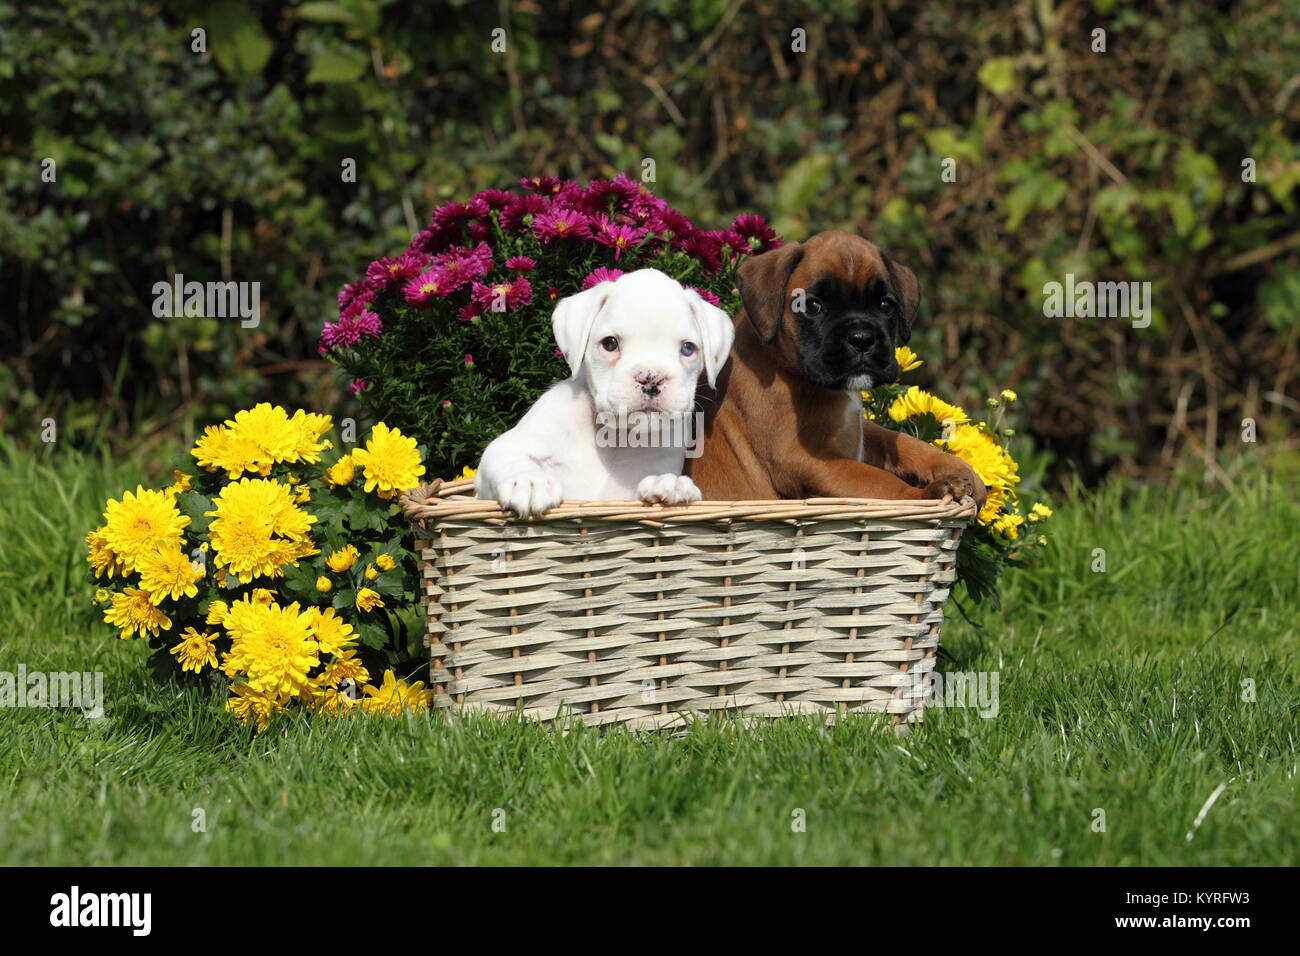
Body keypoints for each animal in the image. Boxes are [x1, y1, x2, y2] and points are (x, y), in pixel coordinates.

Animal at [475, 265, 733, 520]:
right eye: (610, 343)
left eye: (688, 348)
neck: (615, 438)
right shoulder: (506, 450)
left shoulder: (625, 495)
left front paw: (667, 483)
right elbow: (510, 457)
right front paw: (529, 481)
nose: (651, 378)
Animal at [691, 230, 982, 509]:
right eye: (813, 305)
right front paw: (921, 495)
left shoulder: (859, 433)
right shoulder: (803, 458)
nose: (862, 338)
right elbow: (878, 481)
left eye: (886, 304)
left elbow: (904, 441)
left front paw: (959, 469)